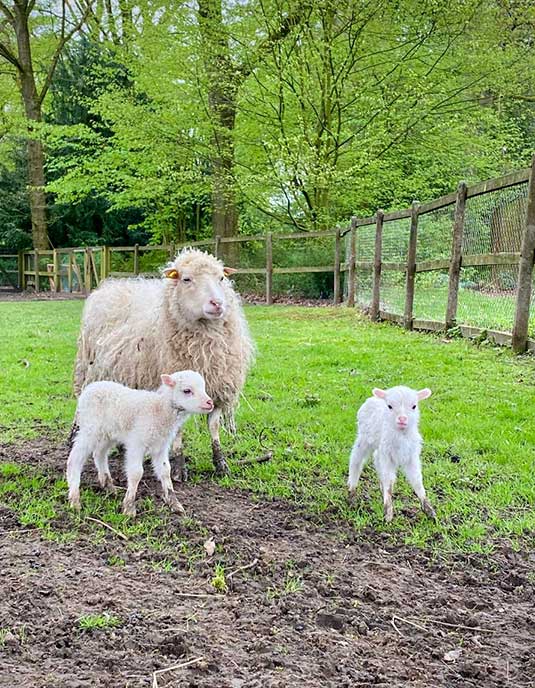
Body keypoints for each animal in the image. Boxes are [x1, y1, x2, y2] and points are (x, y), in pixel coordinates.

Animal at [68, 370, 215, 516]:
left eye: (204, 388)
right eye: (187, 390)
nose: (210, 403)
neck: (159, 410)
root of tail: (89, 388)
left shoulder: (161, 446)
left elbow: (165, 470)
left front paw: (174, 503)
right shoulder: (136, 443)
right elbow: (136, 473)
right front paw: (129, 507)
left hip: (107, 434)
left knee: (99, 454)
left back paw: (108, 486)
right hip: (90, 429)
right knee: (75, 458)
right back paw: (75, 500)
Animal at [74, 247, 255, 478]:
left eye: (221, 278)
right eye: (186, 279)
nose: (217, 303)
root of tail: (111, 285)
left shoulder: (218, 388)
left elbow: (213, 427)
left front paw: (220, 463)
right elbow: (177, 431)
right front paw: (179, 467)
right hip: (89, 370)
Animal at [348, 388, 436, 520]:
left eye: (414, 406)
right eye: (389, 406)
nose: (402, 419)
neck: (401, 436)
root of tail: (372, 398)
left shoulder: (411, 456)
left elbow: (417, 480)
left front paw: (429, 510)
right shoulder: (387, 455)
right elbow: (388, 481)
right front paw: (388, 513)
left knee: (376, 459)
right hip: (364, 438)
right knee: (356, 460)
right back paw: (352, 490)